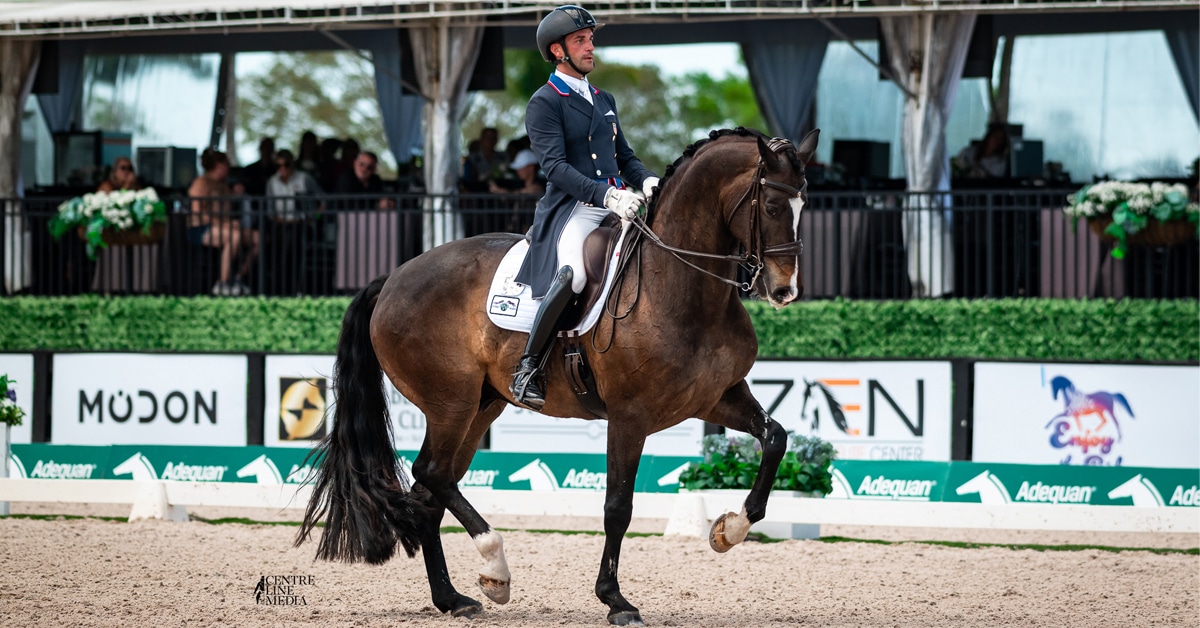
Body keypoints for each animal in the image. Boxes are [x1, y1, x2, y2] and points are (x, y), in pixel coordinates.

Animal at [295, 127, 820, 626]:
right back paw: (496, 568)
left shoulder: (718, 397)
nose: (784, 290)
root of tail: (393, 278)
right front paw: (615, 600)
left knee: (432, 490)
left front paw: (729, 529)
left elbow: (775, 438)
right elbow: (617, 506)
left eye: (805, 204)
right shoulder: (630, 417)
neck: (681, 286)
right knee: (431, 473)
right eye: (772, 204)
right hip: (450, 403)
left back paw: (454, 598)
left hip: (480, 407)